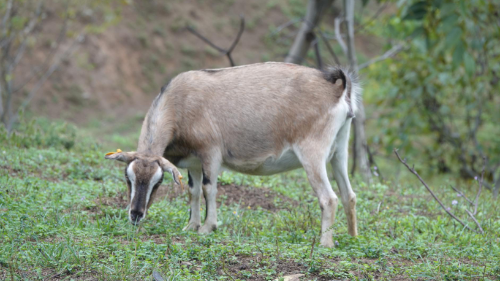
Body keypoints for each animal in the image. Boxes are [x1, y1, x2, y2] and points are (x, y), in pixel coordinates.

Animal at [104, 62, 360, 246]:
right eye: (128, 177)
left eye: (158, 182)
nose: (136, 215)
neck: (181, 102)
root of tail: (337, 88)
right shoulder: (194, 163)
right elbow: (193, 191)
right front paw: (191, 226)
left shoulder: (211, 153)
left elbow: (209, 189)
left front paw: (207, 228)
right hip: (339, 151)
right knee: (349, 194)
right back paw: (352, 238)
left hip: (312, 154)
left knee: (329, 198)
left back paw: (325, 244)